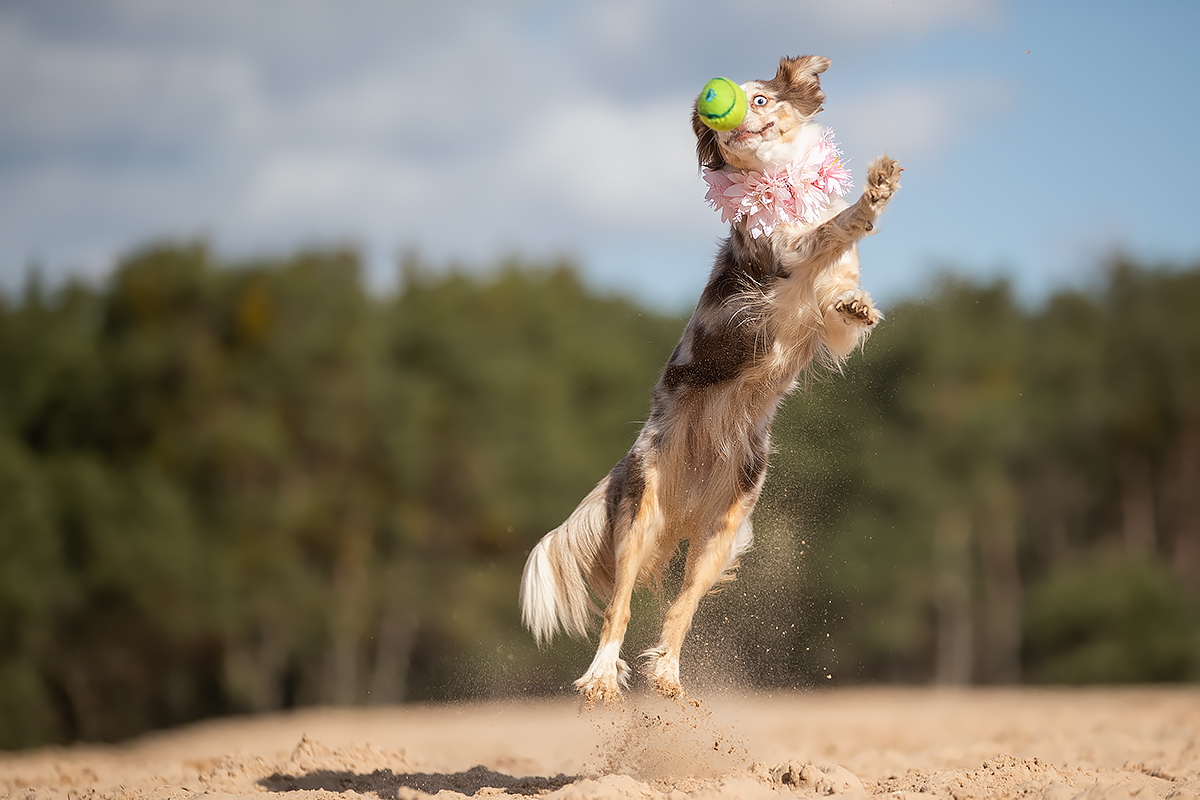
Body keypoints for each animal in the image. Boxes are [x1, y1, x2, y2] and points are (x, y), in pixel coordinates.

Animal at [518, 56, 902, 705]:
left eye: (763, 98)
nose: (733, 114)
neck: (782, 182)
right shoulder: (784, 257)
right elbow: (831, 230)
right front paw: (871, 197)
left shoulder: (825, 311)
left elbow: (841, 301)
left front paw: (858, 303)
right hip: (641, 513)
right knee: (620, 608)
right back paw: (602, 676)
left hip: (723, 528)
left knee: (682, 606)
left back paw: (668, 674)